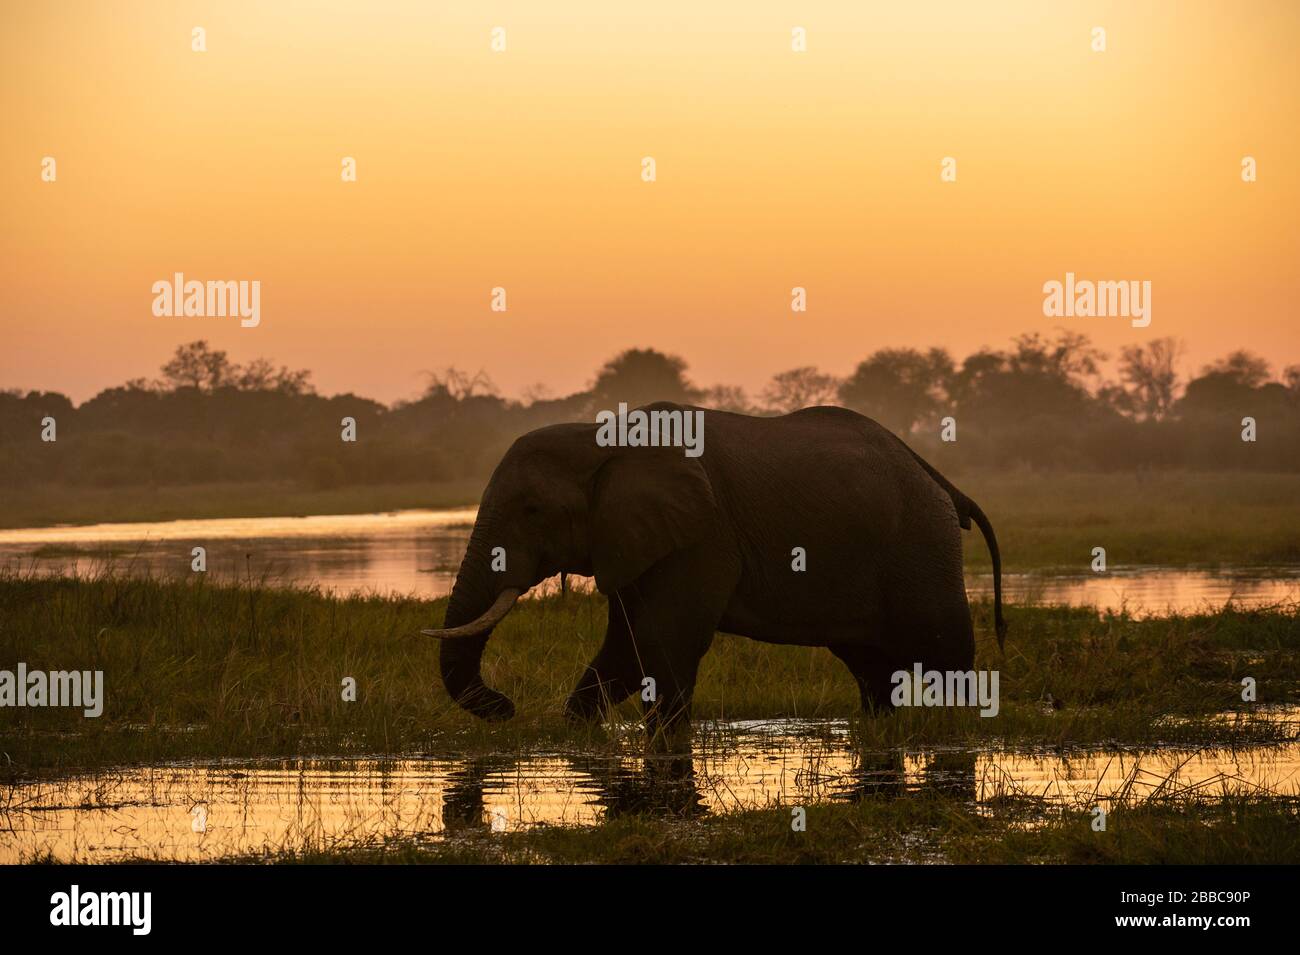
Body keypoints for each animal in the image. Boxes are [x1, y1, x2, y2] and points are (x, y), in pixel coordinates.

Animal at [421, 400, 1008, 743]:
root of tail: (942, 481)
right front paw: (577, 733)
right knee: (870, 667)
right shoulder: (639, 539)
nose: (506, 707)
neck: (603, 436)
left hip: (921, 546)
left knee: (943, 653)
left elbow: (662, 644)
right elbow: (627, 648)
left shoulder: (700, 536)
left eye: (532, 510)